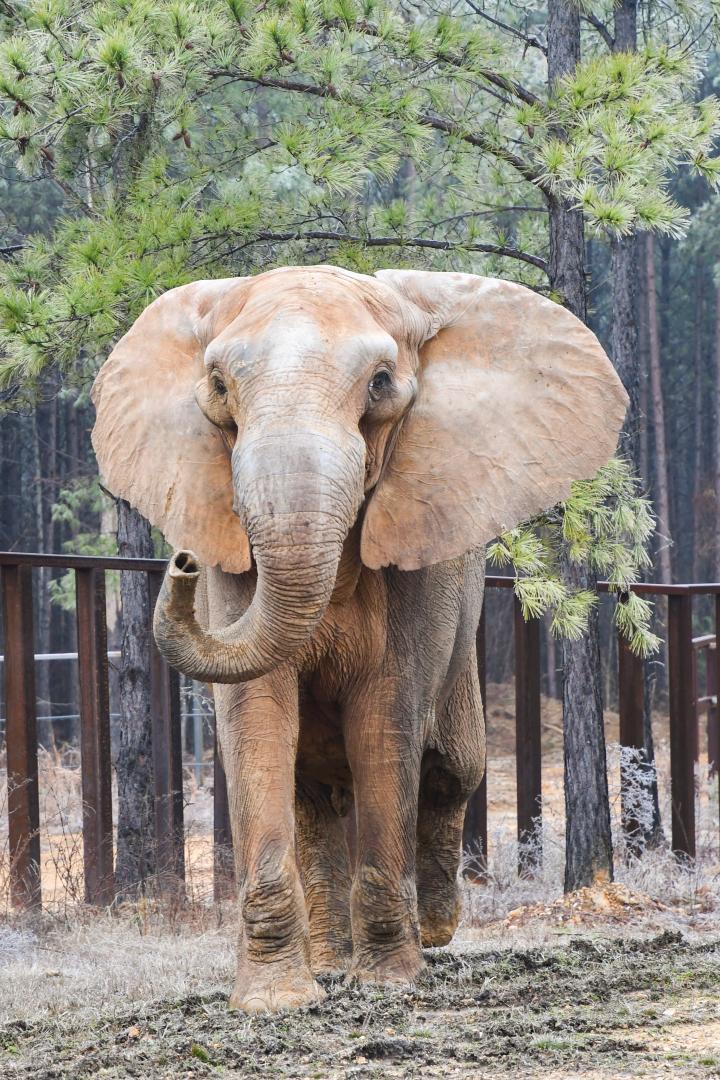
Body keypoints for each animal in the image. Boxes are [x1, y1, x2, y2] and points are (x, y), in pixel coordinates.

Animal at [91, 265, 627, 1012]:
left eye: (379, 382)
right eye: (219, 386)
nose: (184, 562)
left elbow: (385, 717)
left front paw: (389, 984)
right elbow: (257, 720)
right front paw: (276, 1001)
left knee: (453, 764)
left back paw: (433, 930)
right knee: (312, 790)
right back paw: (331, 962)